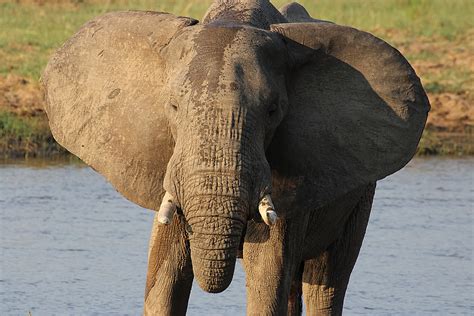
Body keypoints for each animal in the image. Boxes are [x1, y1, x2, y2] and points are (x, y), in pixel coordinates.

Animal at [42, 0, 432, 316]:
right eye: (173, 106)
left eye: (273, 110)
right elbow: (164, 277)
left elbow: (267, 278)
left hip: (360, 197)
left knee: (326, 283)